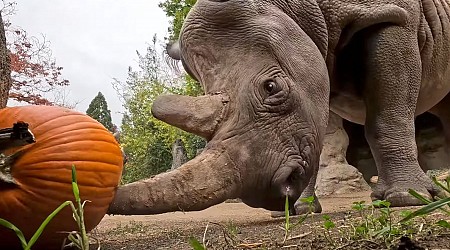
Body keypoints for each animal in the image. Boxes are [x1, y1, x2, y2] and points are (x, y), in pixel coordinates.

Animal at [108, 0, 450, 215]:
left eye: (271, 87)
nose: (270, 195)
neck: (295, 7)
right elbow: (320, 135)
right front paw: (300, 210)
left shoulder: (390, 16)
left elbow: (387, 115)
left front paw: (408, 198)